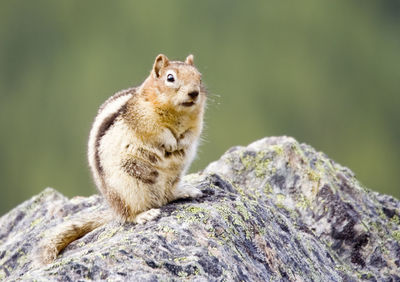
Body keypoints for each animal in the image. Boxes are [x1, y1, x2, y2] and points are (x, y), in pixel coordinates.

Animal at [38, 54, 208, 264]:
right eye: (170, 78)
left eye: (199, 77)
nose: (194, 93)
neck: (178, 115)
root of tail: (114, 210)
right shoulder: (144, 118)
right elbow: (158, 132)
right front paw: (170, 143)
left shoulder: (196, 123)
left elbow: (192, 133)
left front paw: (181, 143)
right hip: (128, 189)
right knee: (130, 215)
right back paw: (145, 214)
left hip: (171, 180)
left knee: (168, 195)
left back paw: (186, 191)